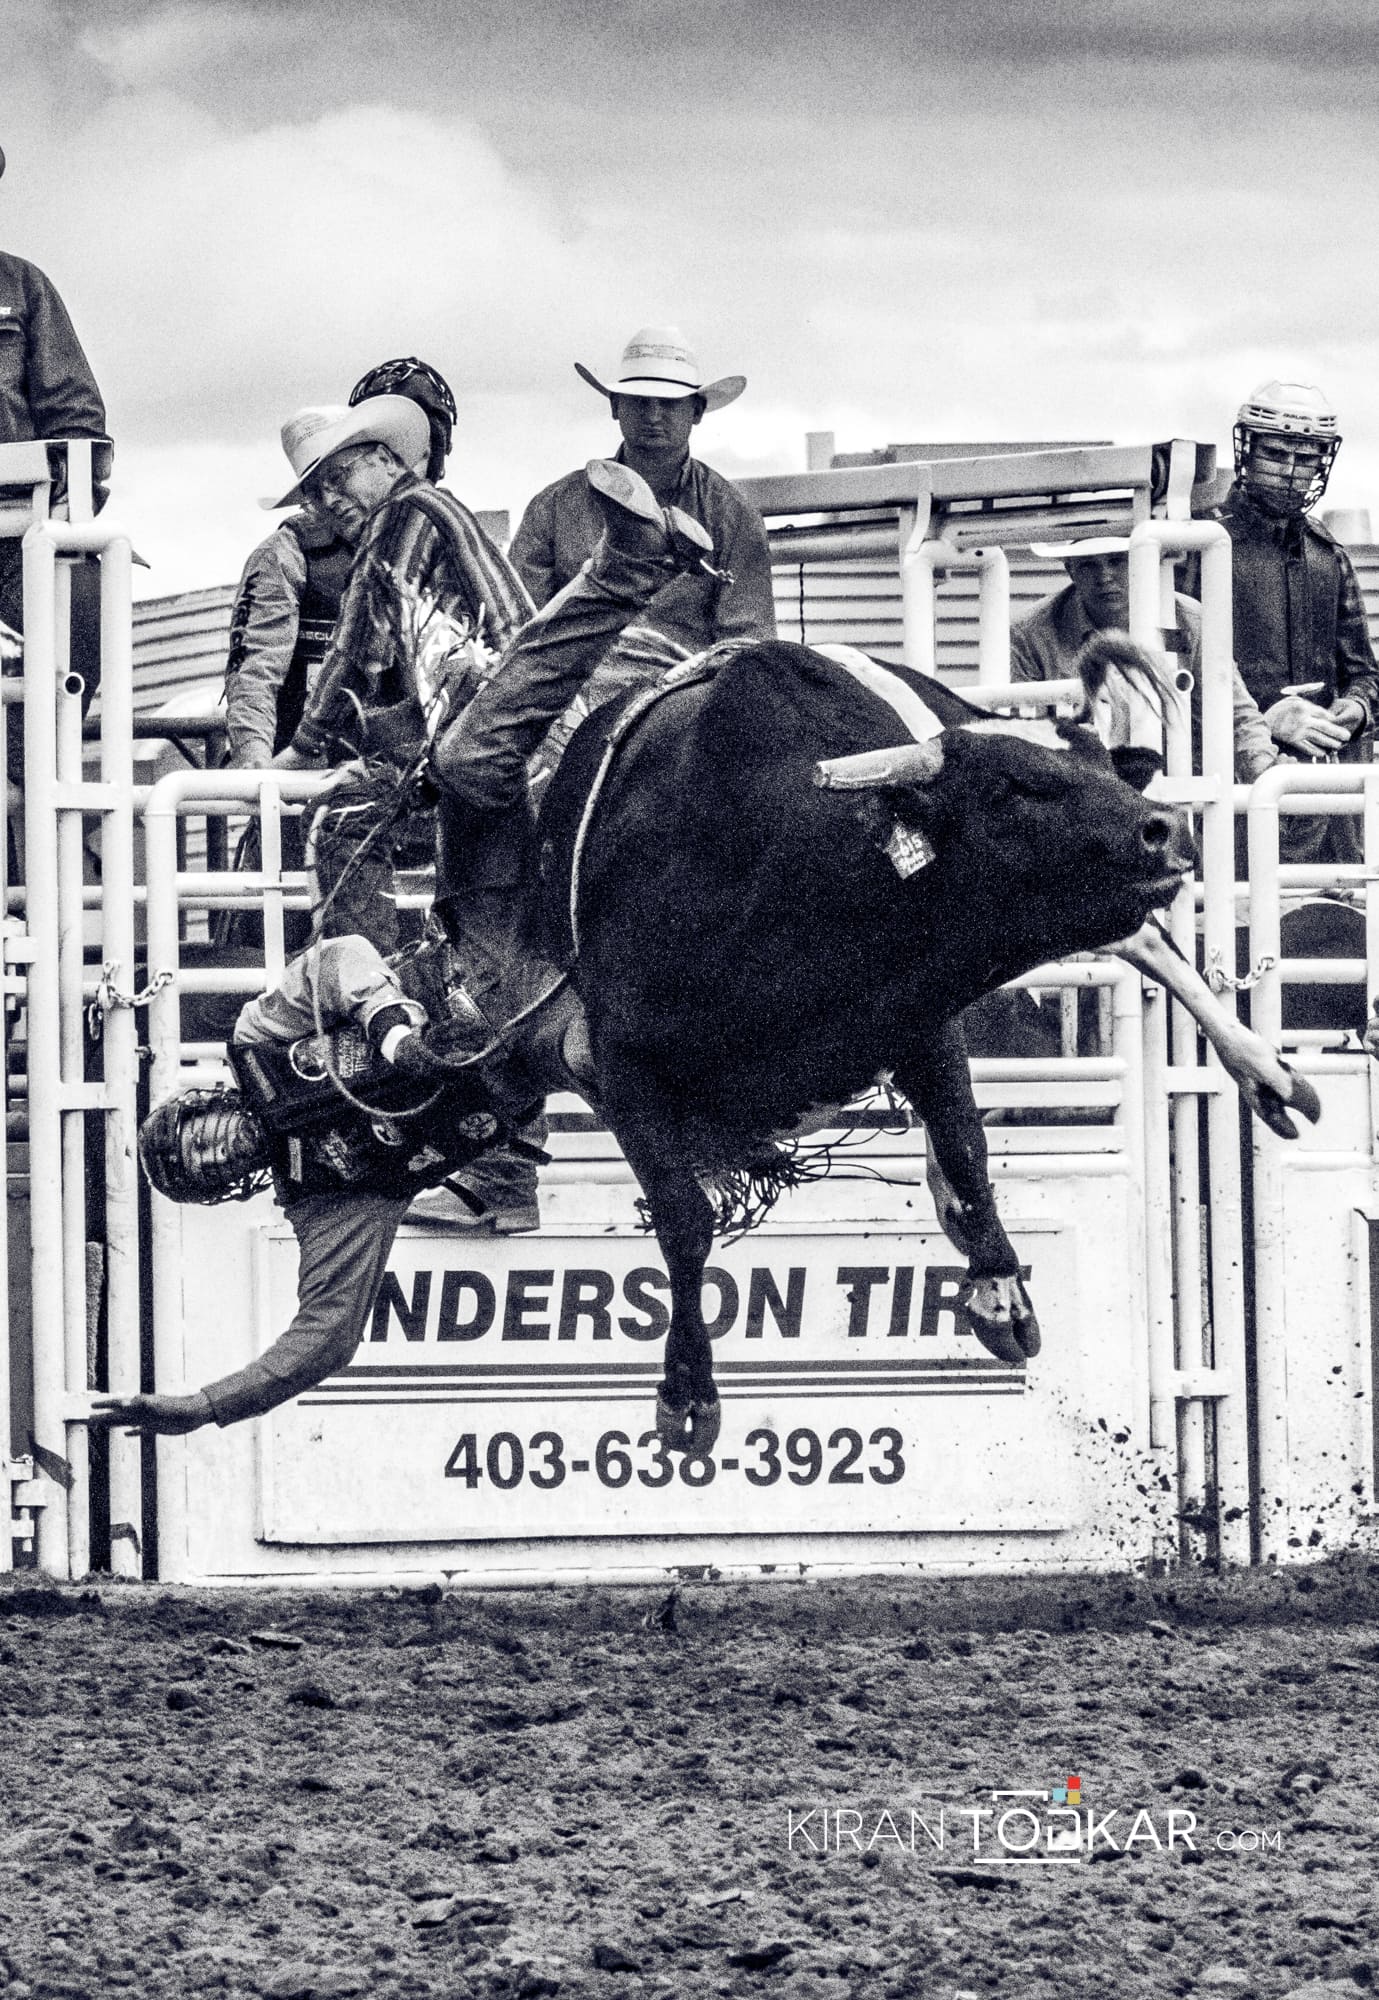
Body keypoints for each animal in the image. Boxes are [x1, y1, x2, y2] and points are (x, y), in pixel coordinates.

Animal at [532, 638, 1321, 1454]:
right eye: (1011, 788)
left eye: (1102, 765)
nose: (1165, 828)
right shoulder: (610, 1058)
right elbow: (685, 1220)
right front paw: (688, 1396)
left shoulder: (922, 1017)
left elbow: (968, 1150)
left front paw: (1001, 1296)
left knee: (1145, 941)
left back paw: (1266, 1074)